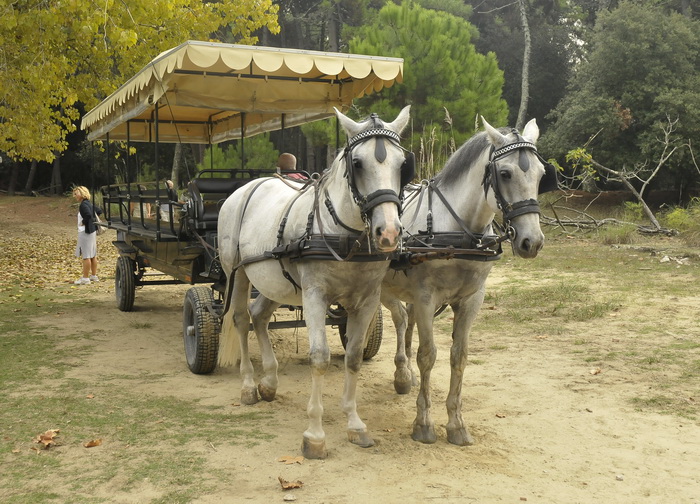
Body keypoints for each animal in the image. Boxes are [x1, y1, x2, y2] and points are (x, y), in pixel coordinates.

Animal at [217, 107, 410, 460]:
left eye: (403, 164)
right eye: (357, 163)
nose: (388, 233)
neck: (345, 236)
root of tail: (246, 187)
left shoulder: (367, 300)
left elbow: (353, 357)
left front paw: (354, 424)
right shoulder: (315, 296)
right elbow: (319, 357)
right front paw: (315, 435)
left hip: (274, 282)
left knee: (259, 316)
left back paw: (270, 382)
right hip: (237, 273)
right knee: (239, 319)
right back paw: (249, 385)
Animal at [382, 117, 556, 444]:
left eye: (541, 175)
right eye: (505, 173)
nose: (532, 242)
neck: (458, 233)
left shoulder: (472, 299)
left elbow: (458, 357)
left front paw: (456, 424)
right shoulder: (426, 298)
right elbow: (428, 355)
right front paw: (423, 423)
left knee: (404, 321)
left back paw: (404, 374)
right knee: (397, 319)